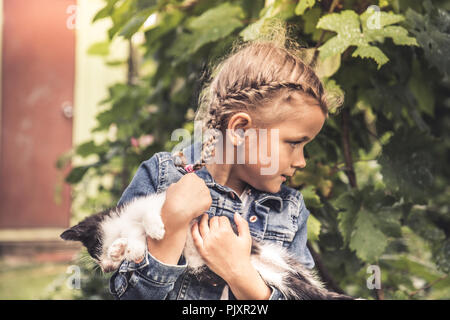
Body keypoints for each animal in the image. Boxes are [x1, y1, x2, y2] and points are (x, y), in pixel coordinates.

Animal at [60, 190, 356, 300]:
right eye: (96, 258)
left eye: (94, 250)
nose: (106, 266)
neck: (128, 228)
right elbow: (137, 252)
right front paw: (122, 251)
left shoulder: (154, 204)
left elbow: (150, 215)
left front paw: (155, 228)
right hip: (273, 277)